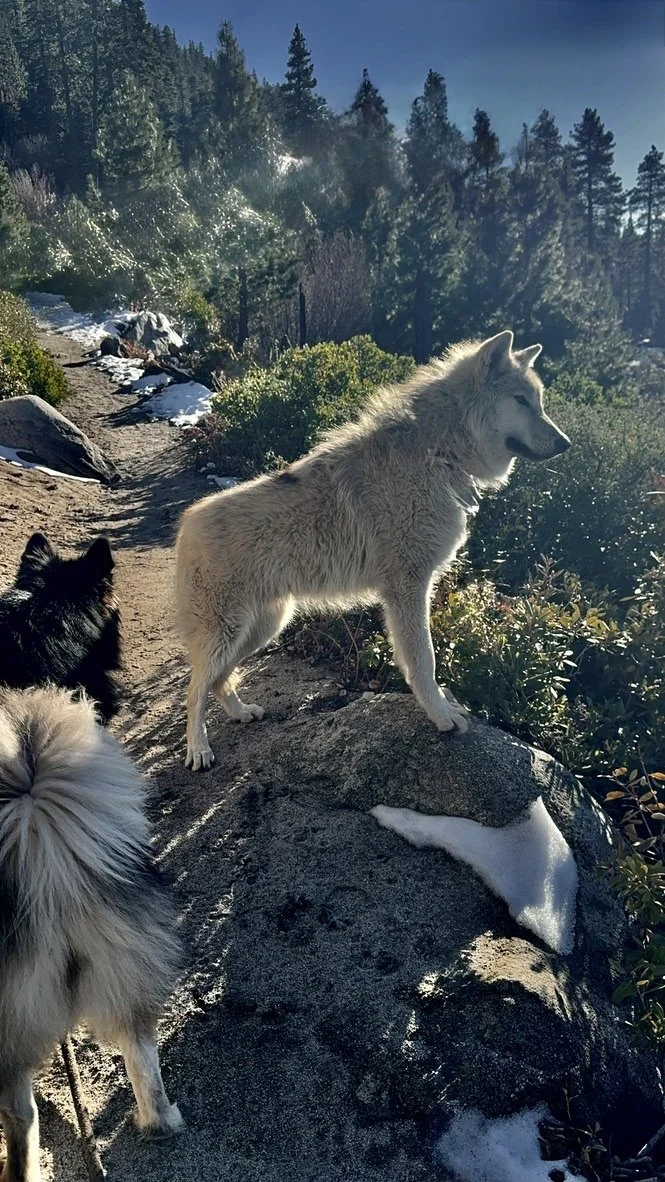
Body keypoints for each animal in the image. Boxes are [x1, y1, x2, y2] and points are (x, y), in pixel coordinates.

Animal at [175, 330, 570, 771]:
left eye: (538, 402)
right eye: (521, 401)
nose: (566, 443)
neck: (438, 452)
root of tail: (185, 524)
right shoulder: (407, 587)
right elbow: (424, 660)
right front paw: (441, 717)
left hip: (264, 628)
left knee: (217, 681)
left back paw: (240, 712)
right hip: (229, 633)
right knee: (193, 690)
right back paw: (198, 750)